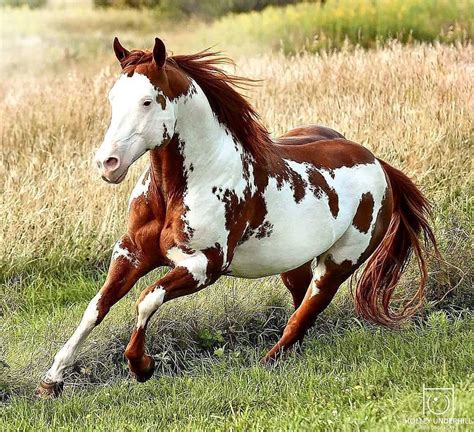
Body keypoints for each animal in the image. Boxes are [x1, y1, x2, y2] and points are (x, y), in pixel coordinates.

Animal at [36, 38, 436, 398]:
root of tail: (378, 164)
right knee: (300, 304)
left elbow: (146, 299)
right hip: (294, 264)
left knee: (306, 312)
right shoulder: (132, 252)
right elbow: (97, 308)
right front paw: (51, 381)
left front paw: (141, 366)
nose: (107, 163)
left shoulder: (205, 265)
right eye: (112, 99)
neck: (179, 188)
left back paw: (269, 362)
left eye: (147, 101)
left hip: (339, 262)